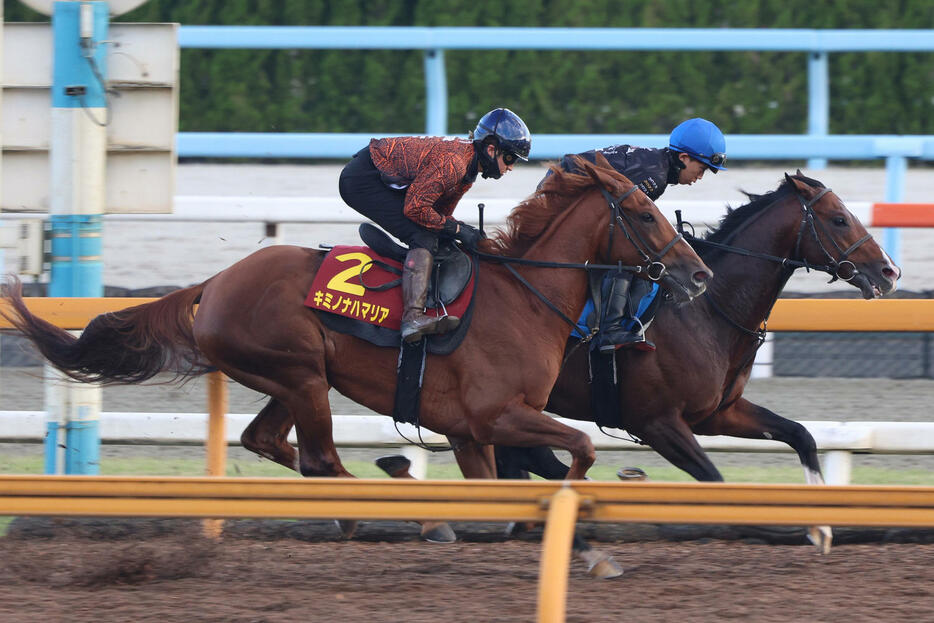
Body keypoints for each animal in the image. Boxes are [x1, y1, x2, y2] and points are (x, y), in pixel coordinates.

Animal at [3, 156, 712, 488]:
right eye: (644, 214)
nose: (699, 274)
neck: (527, 294)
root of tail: (216, 282)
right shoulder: (495, 415)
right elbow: (584, 447)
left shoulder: (468, 433)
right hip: (300, 372)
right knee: (320, 460)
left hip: (294, 379)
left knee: (269, 441)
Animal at [486, 169, 904, 552]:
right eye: (839, 219)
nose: (890, 271)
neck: (706, 311)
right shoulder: (656, 423)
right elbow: (715, 481)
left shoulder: (718, 413)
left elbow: (800, 434)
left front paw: (820, 527)